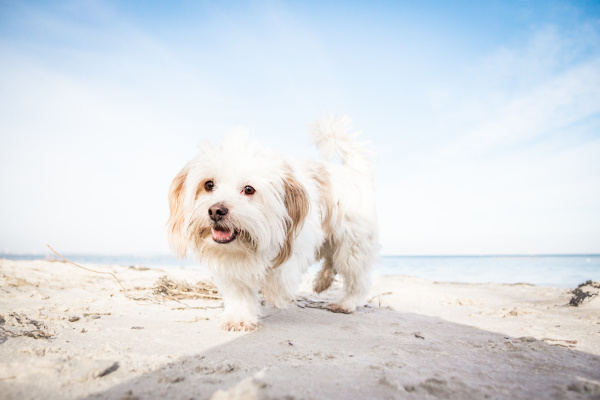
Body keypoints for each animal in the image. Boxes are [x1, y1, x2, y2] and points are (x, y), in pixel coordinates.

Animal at [166, 114, 378, 330]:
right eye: (209, 185)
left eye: (249, 189)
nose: (216, 211)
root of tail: (355, 172)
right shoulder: (230, 265)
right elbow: (238, 292)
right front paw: (239, 318)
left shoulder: (297, 242)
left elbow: (281, 276)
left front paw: (275, 292)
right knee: (330, 260)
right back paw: (322, 282)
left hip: (352, 245)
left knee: (356, 276)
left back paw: (346, 303)